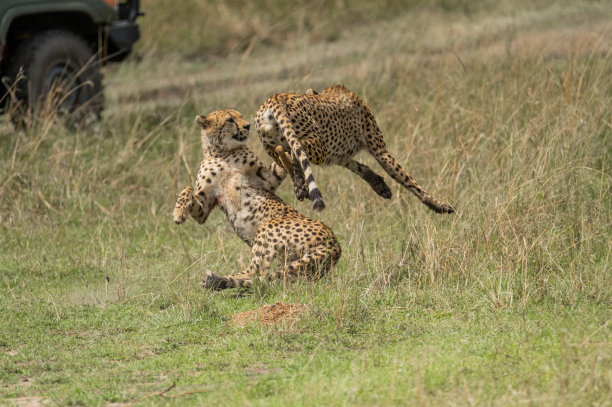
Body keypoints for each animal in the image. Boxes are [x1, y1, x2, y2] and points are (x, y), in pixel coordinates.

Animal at [175, 108, 342, 290]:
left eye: (240, 116)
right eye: (230, 120)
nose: (247, 126)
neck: (223, 153)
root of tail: (335, 244)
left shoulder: (267, 179)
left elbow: (281, 163)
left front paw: (286, 153)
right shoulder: (203, 210)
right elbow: (186, 190)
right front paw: (178, 214)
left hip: (270, 227)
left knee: (258, 274)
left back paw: (218, 281)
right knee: (260, 275)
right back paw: (219, 282)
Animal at [253, 85, 454, 215]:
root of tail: (274, 99)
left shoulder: (339, 157)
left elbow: (360, 167)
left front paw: (379, 185)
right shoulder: (379, 150)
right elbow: (408, 180)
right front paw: (440, 206)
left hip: (276, 147)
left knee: (284, 152)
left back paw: (300, 186)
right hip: (318, 146)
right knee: (292, 151)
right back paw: (301, 185)